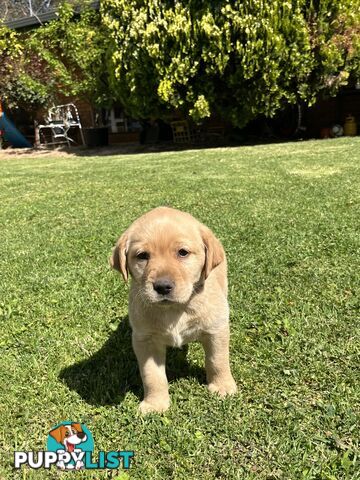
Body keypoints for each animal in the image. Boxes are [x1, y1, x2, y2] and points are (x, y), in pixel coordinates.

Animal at [111, 206, 238, 412]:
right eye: (142, 256)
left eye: (183, 253)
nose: (162, 287)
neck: (175, 309)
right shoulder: (145, 340)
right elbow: (152, 375)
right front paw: (155, 404)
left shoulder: (216, 329)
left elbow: (217, 360)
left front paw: (223, 386)